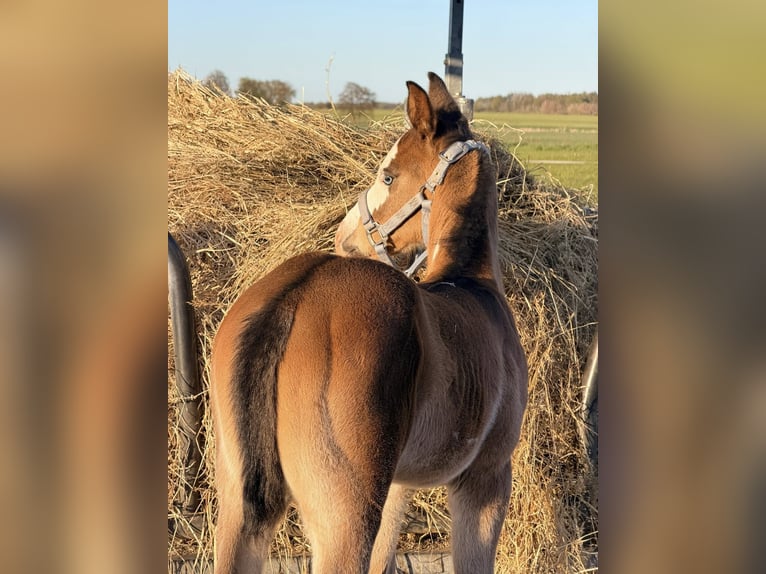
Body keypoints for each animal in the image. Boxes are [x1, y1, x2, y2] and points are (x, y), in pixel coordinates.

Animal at [210, 72, 528, 574]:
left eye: (388, 175)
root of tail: (294, 293)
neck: (470, 281)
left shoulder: (399, 484)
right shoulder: (486, 479)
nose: (346, 236)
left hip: (237, 508)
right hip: (346, 515)